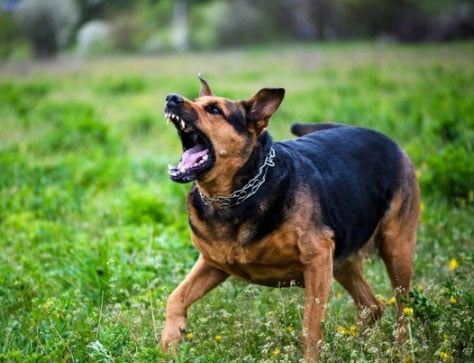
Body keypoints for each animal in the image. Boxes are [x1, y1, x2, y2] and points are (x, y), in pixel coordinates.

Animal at [161, 75, 420, 362]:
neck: (236, 194)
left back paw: (400, 350)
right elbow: (175, 298)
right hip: (343, 258)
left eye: (214, 109)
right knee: (372, 305)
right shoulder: (212, 263)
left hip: (396, 246)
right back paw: (361, 346)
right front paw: (169, 344)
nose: (171, 98)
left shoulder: (317, 262)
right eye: (198, 101)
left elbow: (310, 327)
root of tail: (385, 138)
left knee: (403, 308)